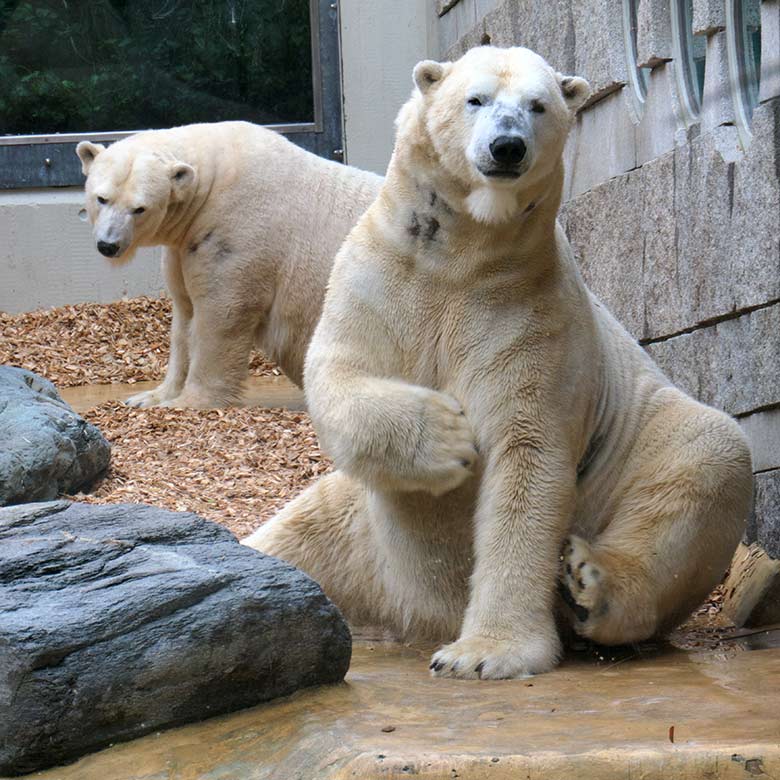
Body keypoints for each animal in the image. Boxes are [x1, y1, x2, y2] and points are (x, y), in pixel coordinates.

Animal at [77, 122, 382, 408]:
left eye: (139, 209)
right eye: (101, 198)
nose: (108, 245)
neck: (211, 181)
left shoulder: (236, 231)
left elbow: (221, 313)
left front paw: (186, 402)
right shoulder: (184, 246)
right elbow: (184, 316)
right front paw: (148, 397)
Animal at [245, 47, 756, 676]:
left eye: (538, 106)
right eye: (476, 99)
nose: (507, 146)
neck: (460, 256)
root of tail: (407, 614)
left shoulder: (529, 310)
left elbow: (525, 455)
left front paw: (484, 654)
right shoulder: (378, 276)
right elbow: (339, 374)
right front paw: (447, 439)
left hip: (642, 438)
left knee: (705, 459)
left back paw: (589, 585)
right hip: (355, 529)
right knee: (295, 538)